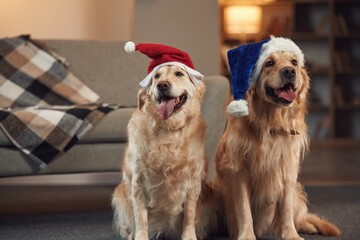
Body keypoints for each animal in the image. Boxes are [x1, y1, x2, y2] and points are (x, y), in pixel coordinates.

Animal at [112, 42, 219, 239]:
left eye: (179, 74)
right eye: (156, 76)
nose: (162, 85)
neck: (168, 130)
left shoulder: (193, 181)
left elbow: (189, 216)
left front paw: (189, 236)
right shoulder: (138, 181)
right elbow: (141, 219)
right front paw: (140, 236)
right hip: (119, 193)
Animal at [214, 36, 340, 240]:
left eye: (294, 62)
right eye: (269, 63)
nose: (289, 71)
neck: (271, 123)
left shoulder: (287, 170)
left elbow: (286, 211)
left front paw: (291, 235)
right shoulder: (239, 171)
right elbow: (244, 210)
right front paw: (247, 235)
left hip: (297, 191)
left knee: (301, 217)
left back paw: (310, 226)